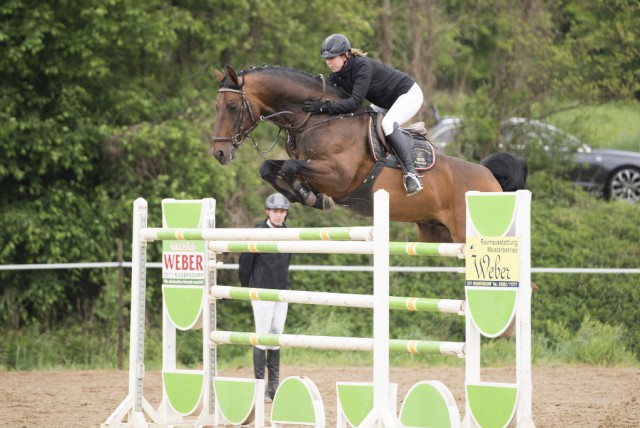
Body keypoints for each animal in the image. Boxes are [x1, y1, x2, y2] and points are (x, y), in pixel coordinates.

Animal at [210, 65, 524, 242]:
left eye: (233, 107)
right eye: (217, 107)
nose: (219, 153)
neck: (315, 118)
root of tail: (490, 177)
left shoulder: (338, 175)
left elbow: (290, 169)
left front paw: (310, 196)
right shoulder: (306, 162)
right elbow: (270, 169)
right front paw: (302, 195)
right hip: (436, 234)